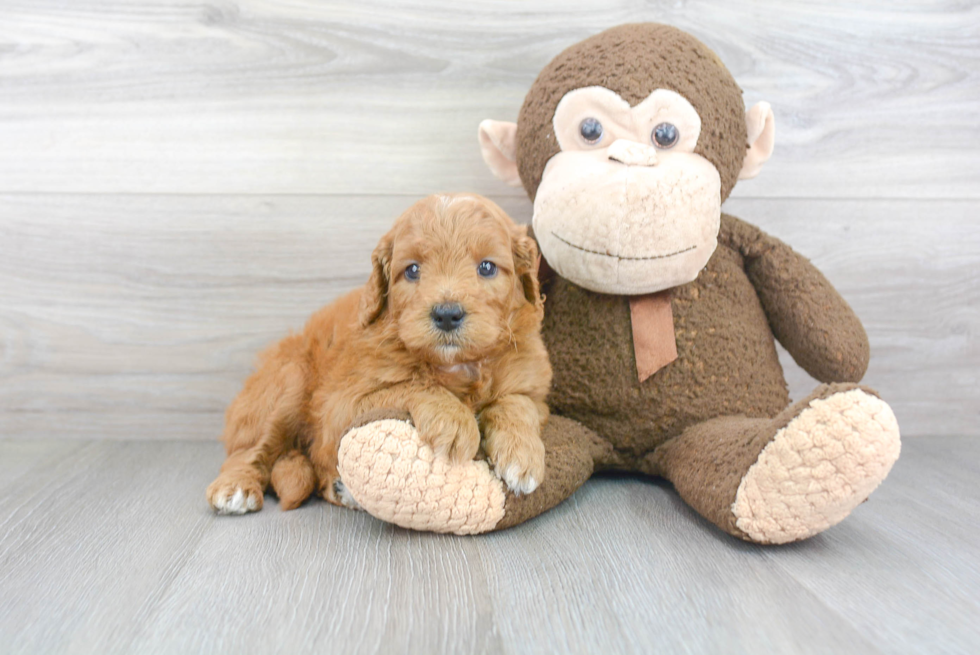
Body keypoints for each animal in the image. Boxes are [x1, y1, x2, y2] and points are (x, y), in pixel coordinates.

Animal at [206, 192, 552, 516]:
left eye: (487, 267)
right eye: (412, 270)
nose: (447, 314)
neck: (457, 365)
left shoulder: (533, 389)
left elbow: (517, 402)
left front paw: (522, 455)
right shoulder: (340, 405)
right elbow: (413, 385)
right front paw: (455, 421)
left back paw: (341, 489)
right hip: (287, 382)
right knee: (249, 450)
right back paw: (235, 487)